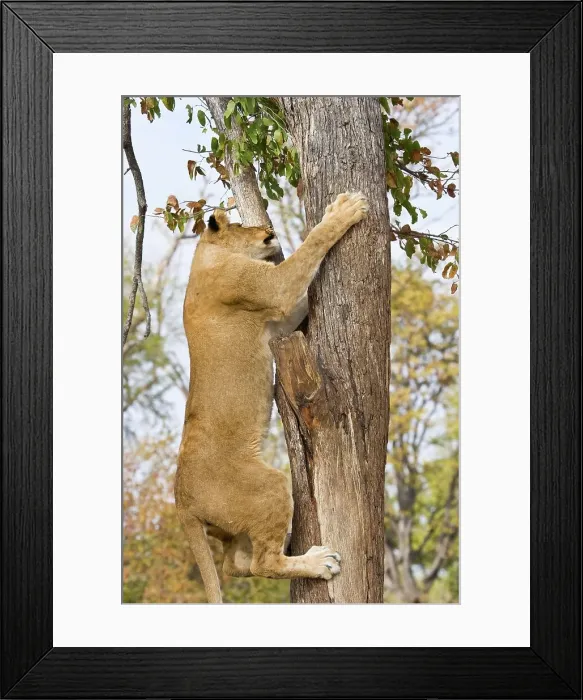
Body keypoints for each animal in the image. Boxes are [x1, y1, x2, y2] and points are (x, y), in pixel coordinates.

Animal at [175, 192, 368, 602]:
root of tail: (180, 500)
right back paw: (319, 561)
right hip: (268, 487)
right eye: (241, 224)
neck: (205, 254)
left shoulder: (279, 319)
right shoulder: (270, 288)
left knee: (235, 565)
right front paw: (344, 210)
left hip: (231, 525)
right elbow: (309, 248)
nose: (268, 229)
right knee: (264, 563)